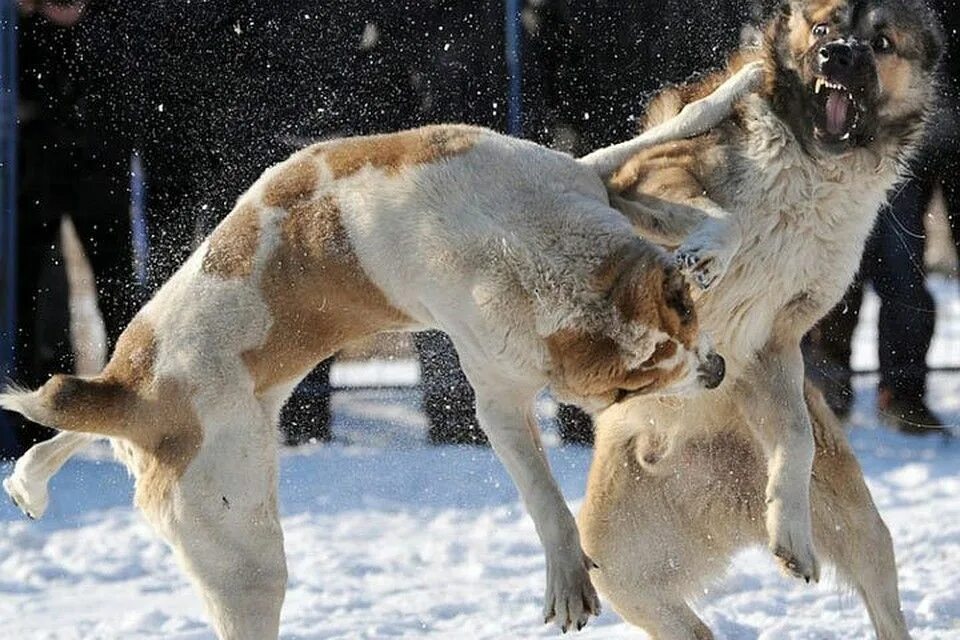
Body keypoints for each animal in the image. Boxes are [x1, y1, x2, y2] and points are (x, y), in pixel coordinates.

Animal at [0, 63, 764, 636]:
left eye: (691, 332)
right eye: (631, 390)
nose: (716, 370)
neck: (518, 248)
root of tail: (133, 396)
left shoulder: (580, 177)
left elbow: (700, 184)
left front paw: (707, 233)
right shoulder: (498, 396)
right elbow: (544, 496)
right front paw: (567, 574)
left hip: (171, 399)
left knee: (68, 423)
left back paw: (30, 477)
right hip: (244, 554)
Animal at [580, 0, 940, 636]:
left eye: (881, 41)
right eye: (823, 28)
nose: (836, 55)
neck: (814, 167)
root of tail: (719, 487)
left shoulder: (776, 342)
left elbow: (794, 435)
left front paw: (789, 529)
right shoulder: (648, 179)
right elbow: (725, 220)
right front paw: (712, 252)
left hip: (856, 524)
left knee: (876, 581)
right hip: (613, 562)